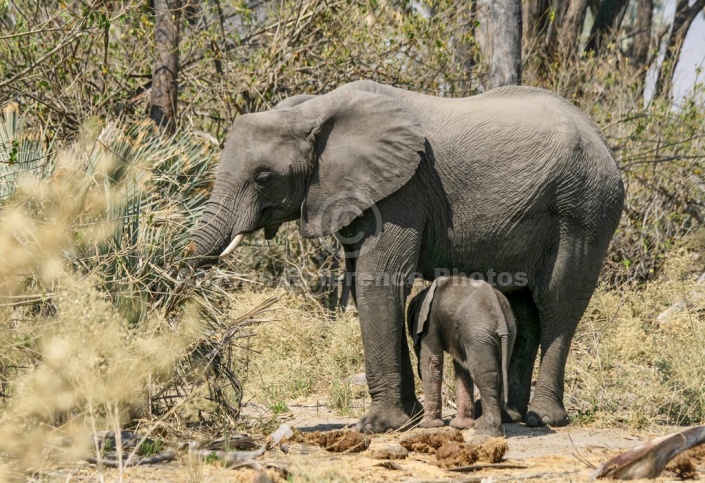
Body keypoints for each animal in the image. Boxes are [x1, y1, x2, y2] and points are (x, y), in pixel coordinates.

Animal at [404, 276, 516, 438]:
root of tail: (500, 317)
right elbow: (461, 366)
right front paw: (460, 426)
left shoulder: (430, 322)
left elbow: (432, 361)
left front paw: (427, 426)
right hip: (506, 332)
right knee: (500, 370)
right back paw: (480, 425)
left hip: (478, 333)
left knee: (485, 376)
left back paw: (487, 433)